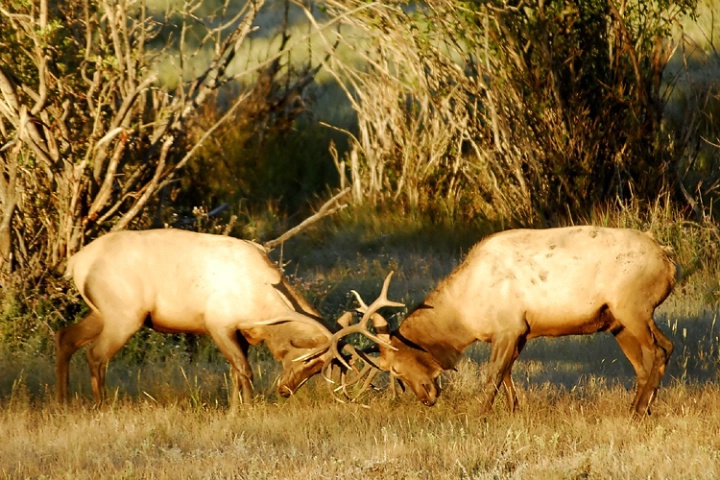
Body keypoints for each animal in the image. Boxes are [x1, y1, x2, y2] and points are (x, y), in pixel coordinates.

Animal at [55, 227, 362, 406]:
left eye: (319, 368)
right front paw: (251, 408)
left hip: (103, 312)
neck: (263, 307)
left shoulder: (240, 333)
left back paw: (64, 401)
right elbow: (244, 370)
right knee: (95, 354)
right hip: (124, 314)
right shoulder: (218, 323)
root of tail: (76, 263)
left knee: (65, 336)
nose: (285, 390)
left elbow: (235, 372)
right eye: (307, 359)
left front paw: (236, 409)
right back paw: (100, 405)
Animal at [354, 227, 680, 414]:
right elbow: (507, 373)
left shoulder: (509, 327)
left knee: (662, 348)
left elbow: (493, 376)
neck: (465, 315)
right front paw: (513, 410)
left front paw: (480, 415)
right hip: (617, 322)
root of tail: (668, 260)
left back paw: (639, 410)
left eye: (395, 369)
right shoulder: (517, 332)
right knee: (643, 364)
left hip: (633, 307)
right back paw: (639, 408)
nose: (425, 398)